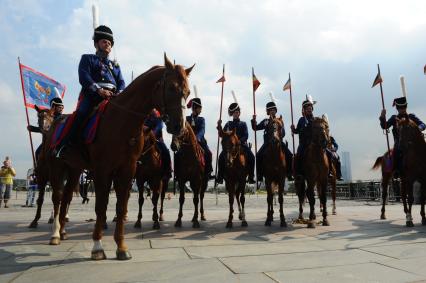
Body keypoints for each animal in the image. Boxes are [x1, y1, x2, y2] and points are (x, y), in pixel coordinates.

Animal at [42, 53, 193, 262]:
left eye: (187, 92)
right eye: (171, 87)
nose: (180, 126)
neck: (121, 121)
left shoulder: (127, 170)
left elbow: (121, 207)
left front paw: (121, 247)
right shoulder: (102, 170)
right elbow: (101, 206)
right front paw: (97, 246)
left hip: (74, 170)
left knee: (66, 197)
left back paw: (63, 232)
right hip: (56, 167)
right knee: (57, 197)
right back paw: (55, 233)